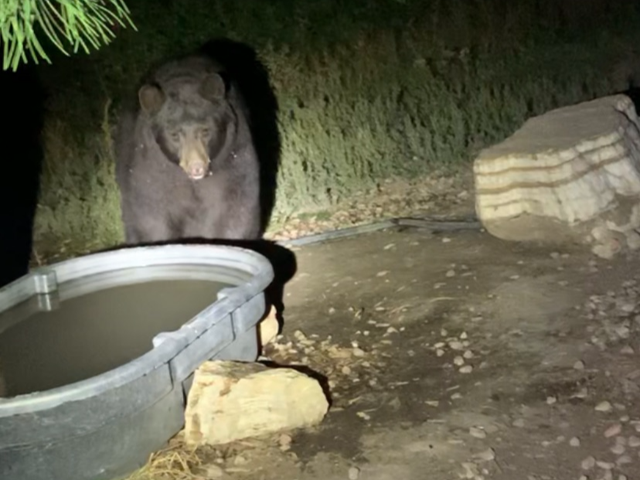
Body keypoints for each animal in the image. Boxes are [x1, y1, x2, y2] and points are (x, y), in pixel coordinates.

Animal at [114, 52, 262, 245]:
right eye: (174, 135)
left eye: (205, 130)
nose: (196, 167)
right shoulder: (152, 165)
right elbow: (153, 212)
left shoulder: (232, 153)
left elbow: (235, 202)